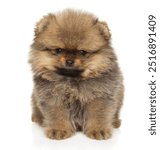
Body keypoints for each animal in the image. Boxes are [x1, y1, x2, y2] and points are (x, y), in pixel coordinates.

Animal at [28, 9, 124, 140]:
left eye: (82, 52)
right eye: (59, 50)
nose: (69, 61)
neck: (72, 81)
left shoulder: (99, 96)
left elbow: (98, 114)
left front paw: (98, 130)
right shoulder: (54, 97)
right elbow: (58, 115)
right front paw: (59, 130)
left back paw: (115, 122)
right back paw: (38, 118)